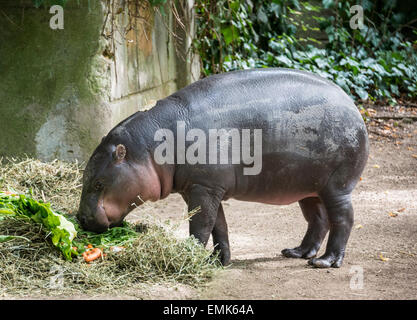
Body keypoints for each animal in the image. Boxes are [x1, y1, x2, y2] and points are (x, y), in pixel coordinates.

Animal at [77, 69, 368, 268]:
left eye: (99, 183)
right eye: (85, 177)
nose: (80, 219)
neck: (150, 146)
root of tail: (353, 106)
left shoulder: (204, 188)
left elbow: (200, 226)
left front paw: (191, 255)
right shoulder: (202, 188)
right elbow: (219, 226)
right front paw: (218, 260)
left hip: (336, 187)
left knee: (343, 219)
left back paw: (325, 262)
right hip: (307, 188)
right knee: (317, 219)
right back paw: (297, 253)